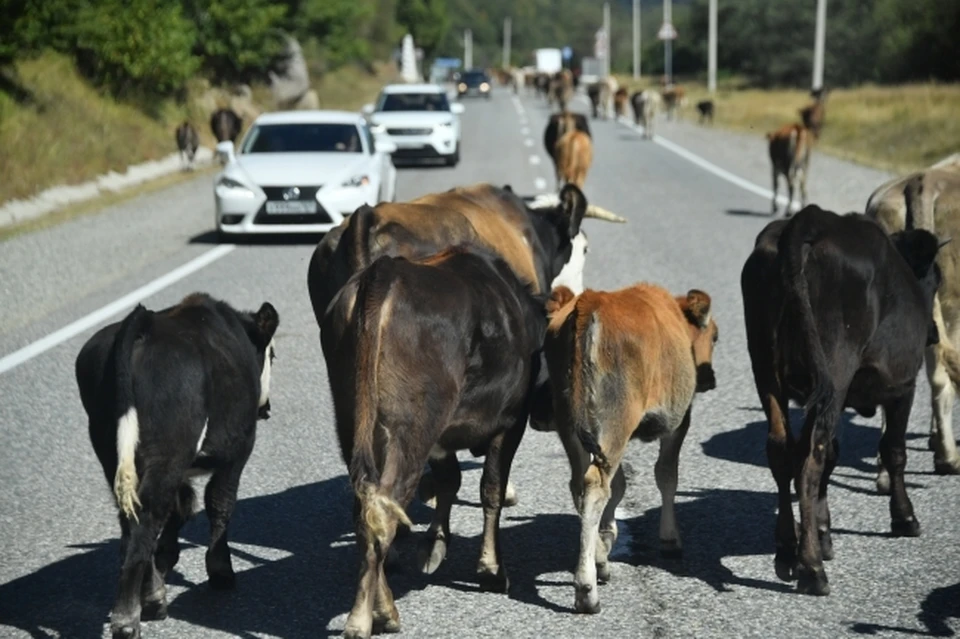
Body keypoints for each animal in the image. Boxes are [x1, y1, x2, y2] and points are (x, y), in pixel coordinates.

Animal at [75, 292, 278, 636]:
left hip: (112, 451)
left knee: (133, 519)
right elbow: (219, 503)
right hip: (167, 452)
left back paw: (150, 595)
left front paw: (168, 556)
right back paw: (133, 616)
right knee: (146, 518)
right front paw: (221, 571)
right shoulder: (237, 451)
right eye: (272, 355)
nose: (267, 408)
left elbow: (181, 507)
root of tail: (142, 321)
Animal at [320, 244, 548, 636]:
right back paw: (366, 617)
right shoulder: (510, 421)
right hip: (412, 428)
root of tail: (385, 272)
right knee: (383, 511)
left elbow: (449, 481)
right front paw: (491, 569)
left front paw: (435, 544)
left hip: (353, 421)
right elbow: (491, 488)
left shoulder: (442, 439)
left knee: (367, 508)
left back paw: (382, 608)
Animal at [536, 284, 716, 616]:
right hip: (615, 425)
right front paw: (670, 539)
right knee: (596, 486)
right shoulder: (677, 423)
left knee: (581, 483)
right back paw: (588, 591)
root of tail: (591, 300)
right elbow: (666, 476)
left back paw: (599, 560)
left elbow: (620, 486)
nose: (709, 379)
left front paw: (607, 537)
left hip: (572, 426)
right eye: (714, 336)